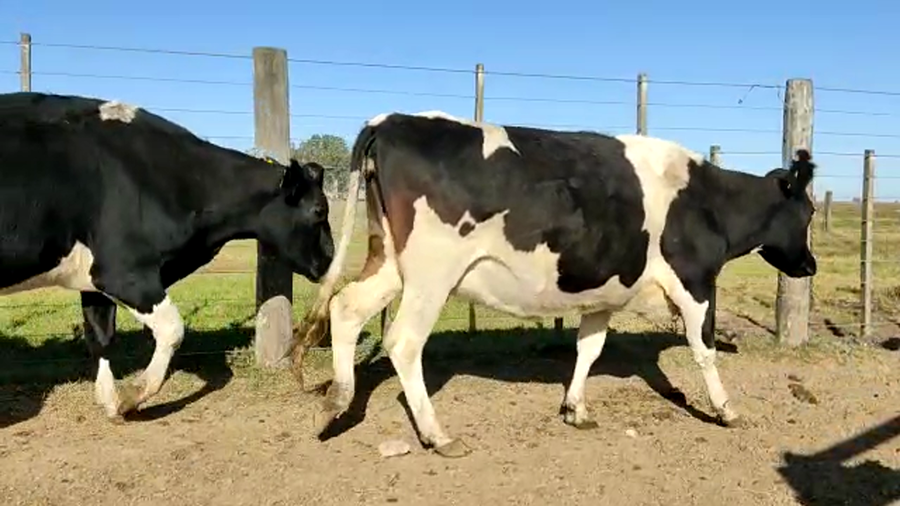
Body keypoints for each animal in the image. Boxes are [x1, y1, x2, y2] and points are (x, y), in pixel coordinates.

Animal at [0, 91, 334, 422]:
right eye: (319, 210)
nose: (331, 256)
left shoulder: (95, 280)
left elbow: (101, 337)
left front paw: (111, 403)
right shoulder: (125, 273)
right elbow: (173, 329)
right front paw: (132, 396)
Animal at [290, 110, 817, 458]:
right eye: (808, 211)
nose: (809, 265)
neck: (708, 200)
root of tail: (390, 120)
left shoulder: (605, 292)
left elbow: (589, 347)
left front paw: (575, 408)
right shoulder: (696, 282)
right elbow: (703, 349)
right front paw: (726, 409)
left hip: (388, 261)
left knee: (346, 309)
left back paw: (336, 402)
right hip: (431, 275)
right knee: (403, 341)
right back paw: (437, 435)